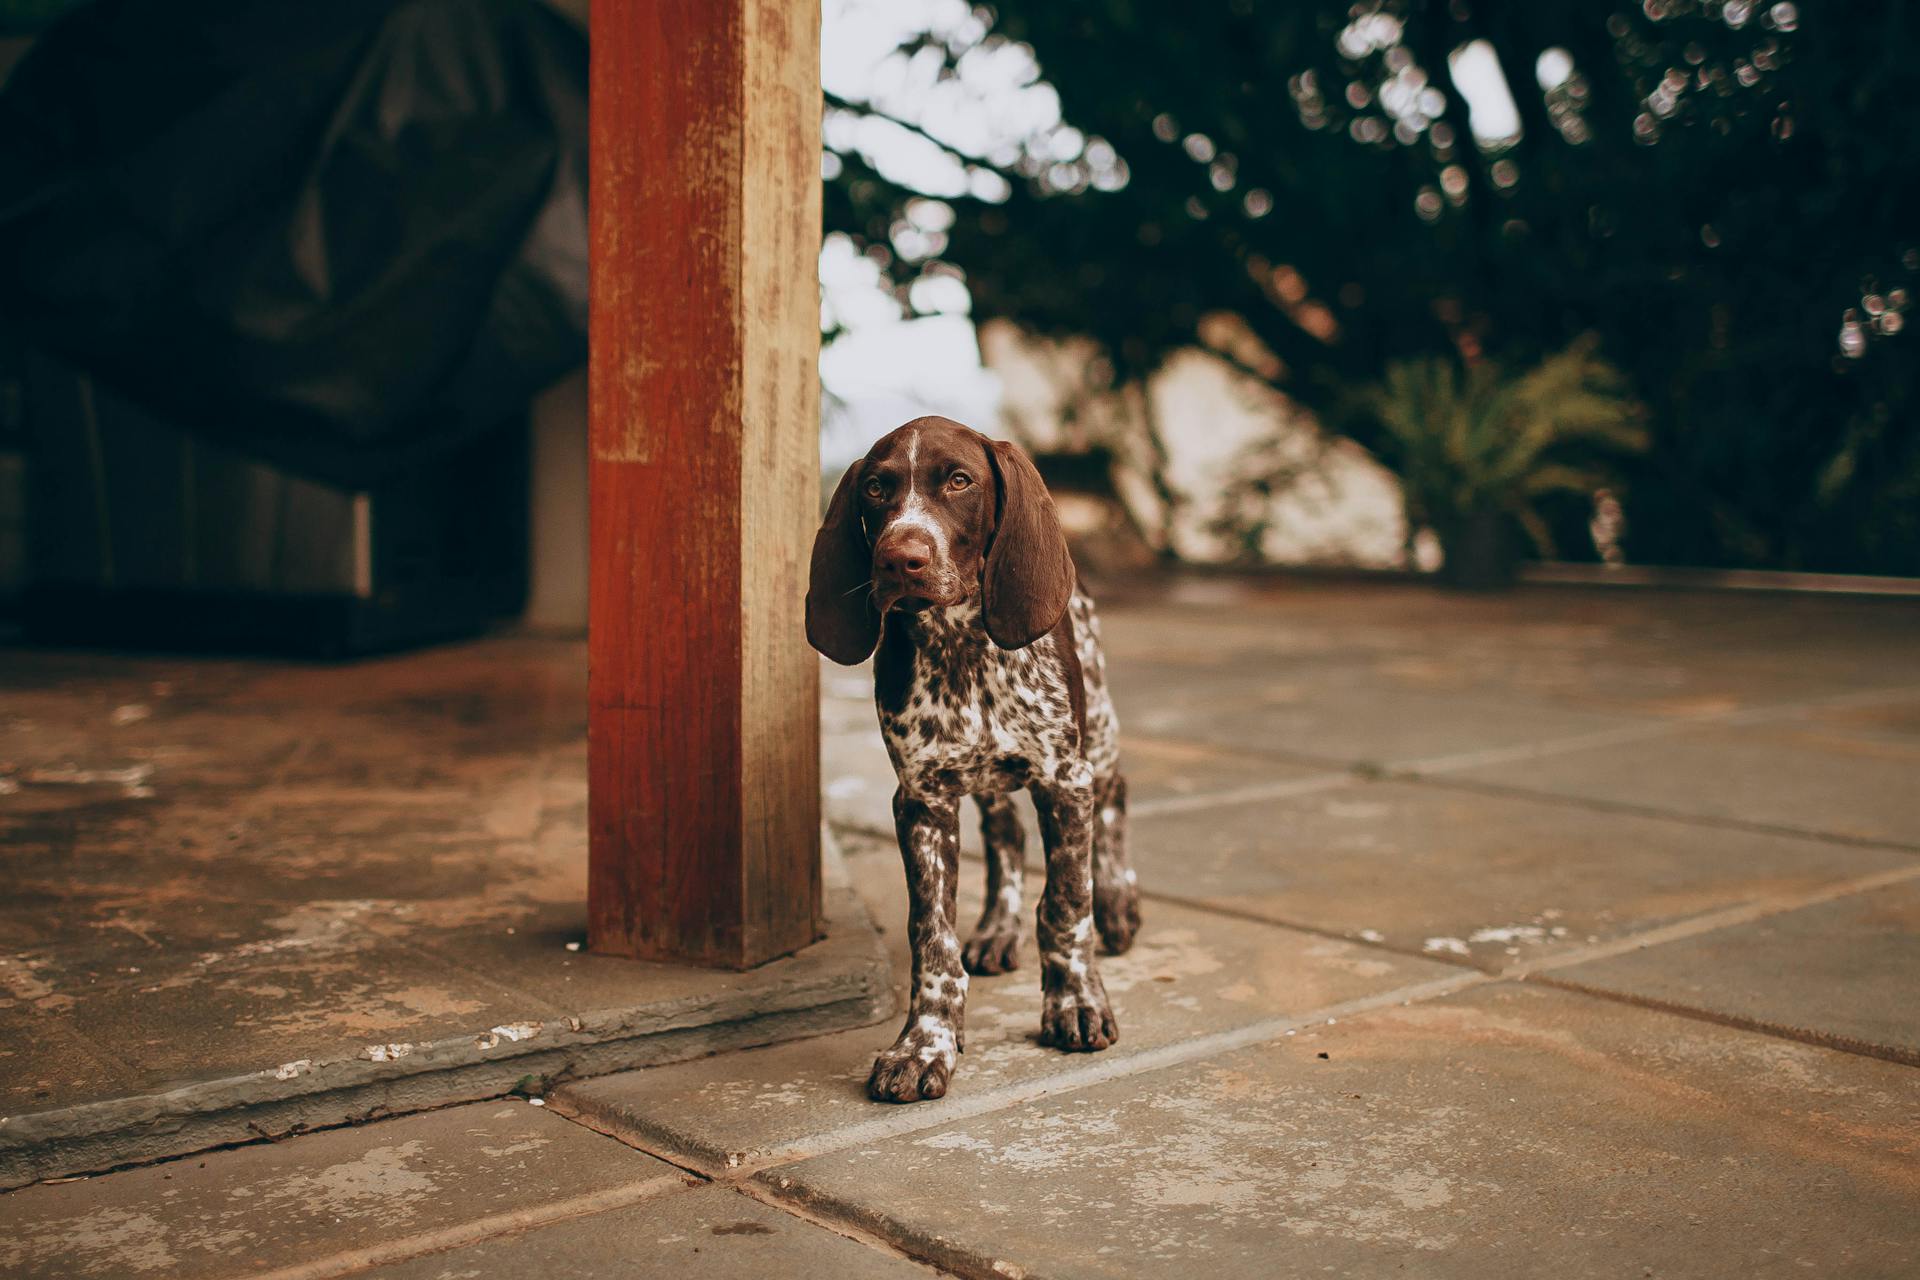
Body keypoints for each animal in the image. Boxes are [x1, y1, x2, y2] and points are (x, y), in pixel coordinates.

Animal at [798, 418, 1128, 1105]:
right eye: (876, 488)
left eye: (959, 480)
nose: (900, 558)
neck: (961, 648)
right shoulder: (923, 800)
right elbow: (932, 938)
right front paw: (926, 1044)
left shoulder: (1065, 780)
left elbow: (1066, 904)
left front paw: (1076, 1002)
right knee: (1004, 835)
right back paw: (998, 928)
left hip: (1100, 735)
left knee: (1117, 799)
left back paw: (1119, 902)